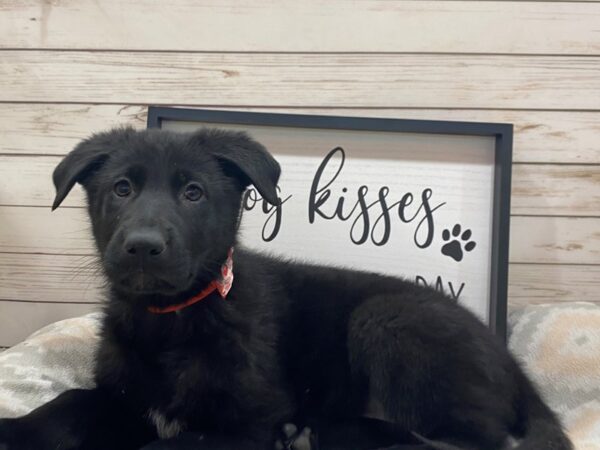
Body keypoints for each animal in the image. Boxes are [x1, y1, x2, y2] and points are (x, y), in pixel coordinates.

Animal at [0, 127, 572, 450]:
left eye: (193, 193)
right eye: (122, 189)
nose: (142, 246)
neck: (171, 320)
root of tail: (510, 360)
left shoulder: (248, 423)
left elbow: (171, 446)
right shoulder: (123, 399)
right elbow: (68, 402)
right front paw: (18, 432)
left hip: (389, 320)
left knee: (470, 442)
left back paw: (326, 436)